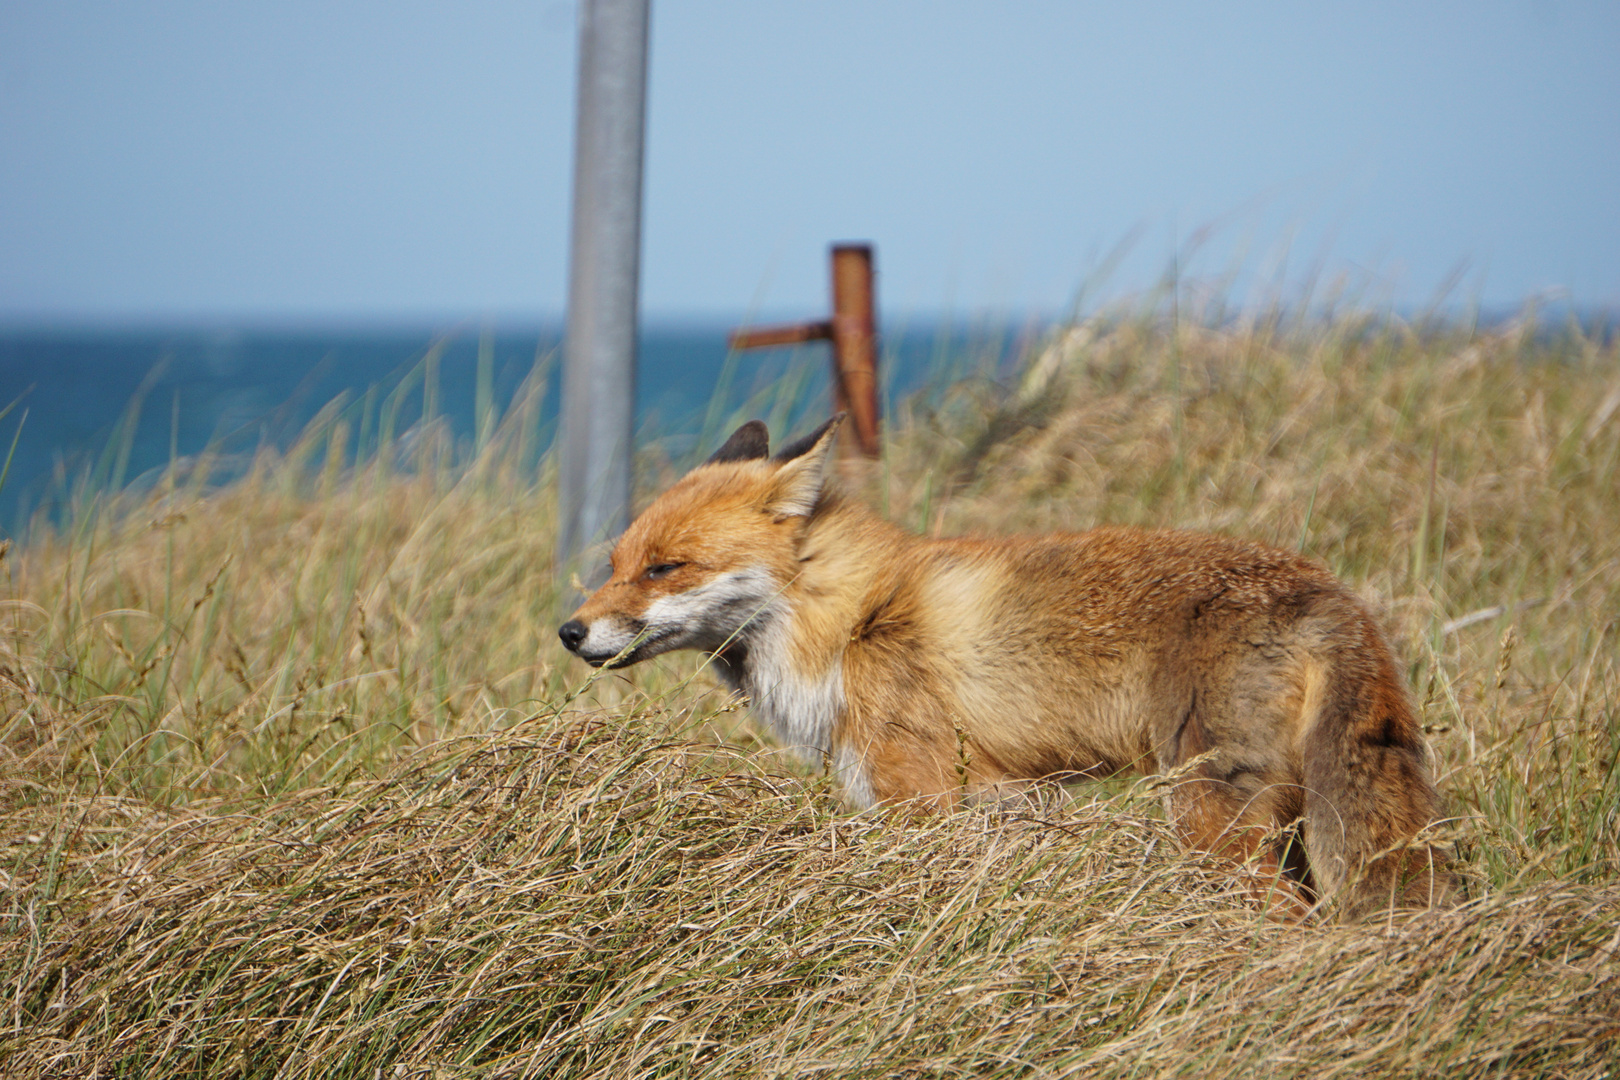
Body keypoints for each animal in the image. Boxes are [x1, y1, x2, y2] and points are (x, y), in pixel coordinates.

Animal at [560, 414, 1458, 919]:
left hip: (1209, 822)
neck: (844, 623)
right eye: (615, 562)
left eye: (665, 569)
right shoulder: (1000, 802)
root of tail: (1329, 591)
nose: (570, 631)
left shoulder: (920, 800)